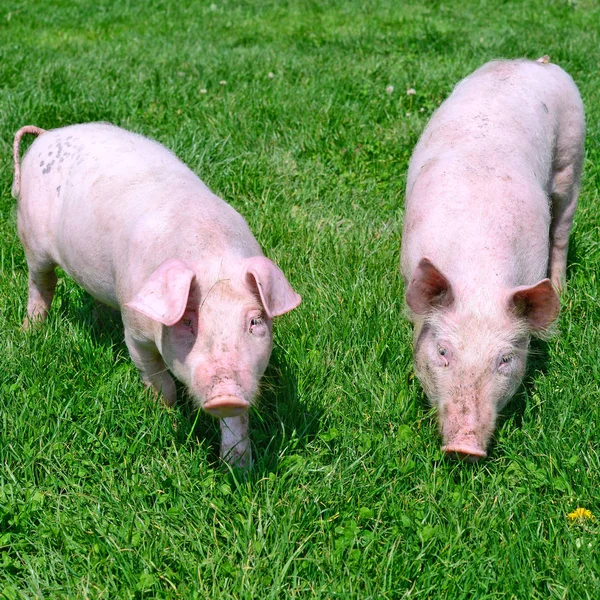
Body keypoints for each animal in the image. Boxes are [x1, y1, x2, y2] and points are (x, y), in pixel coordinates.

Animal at [14, 123, 302, 468]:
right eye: (189, 321)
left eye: (255, 321)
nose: (226, 395)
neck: (211, 253)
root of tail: (48, 134)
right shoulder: (135, 334)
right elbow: (161, 384)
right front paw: (166, 420)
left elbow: (237, 422)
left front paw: (238, 468)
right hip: (31, 239)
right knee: (41, 284)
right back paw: (30, 332)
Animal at [400, 57, 584, 460]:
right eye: (443, 351)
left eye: (504, 360)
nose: (464, 446)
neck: (478, 277)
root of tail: (536, 61)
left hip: (572, 155)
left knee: (562, 229)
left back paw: (562, 289)